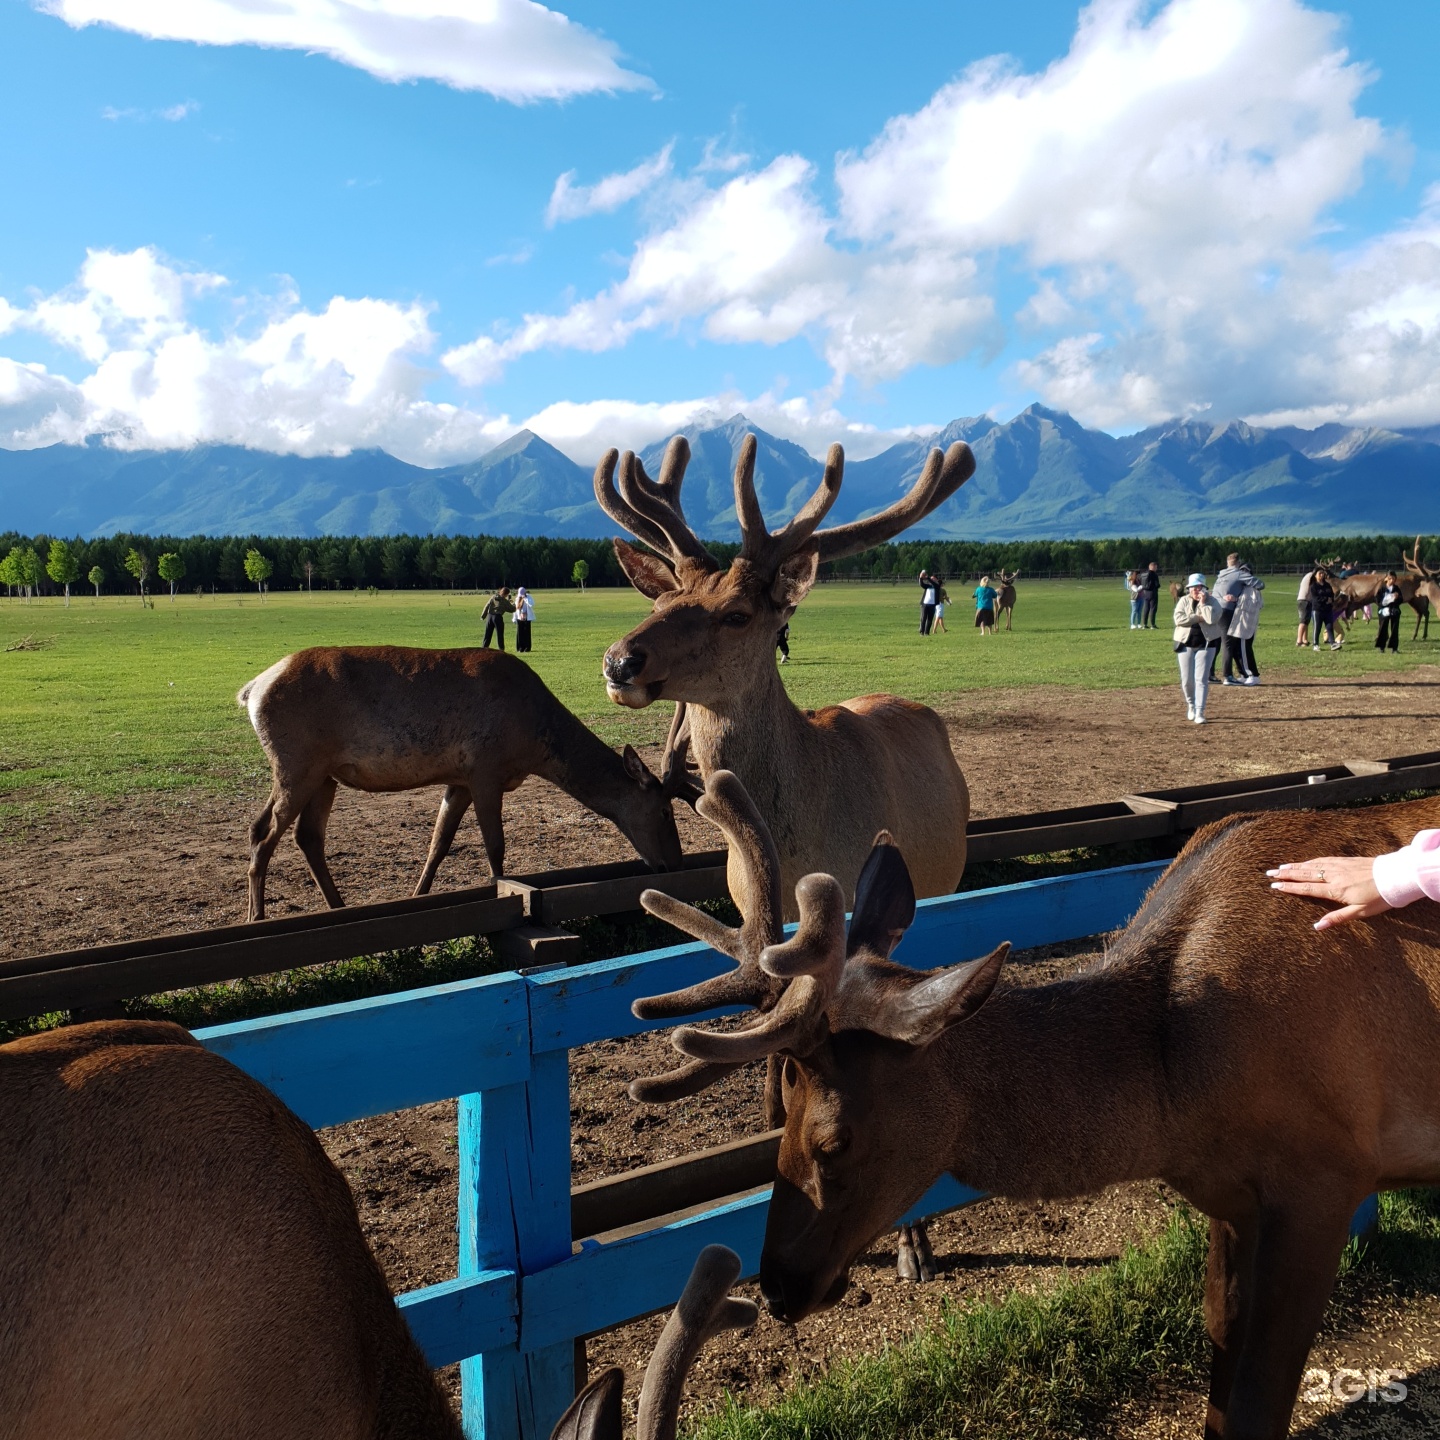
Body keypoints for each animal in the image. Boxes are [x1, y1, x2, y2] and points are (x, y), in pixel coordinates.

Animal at [239, 645, 688, 915]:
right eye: (665, 811)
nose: (673, 864)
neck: (536, 743)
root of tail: (252, 689)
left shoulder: (459, 780)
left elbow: (438, 844)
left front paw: (416, 896)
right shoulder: (485, 770)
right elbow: (495, 846)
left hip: (322, 775)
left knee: (305, 835)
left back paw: (338, 906)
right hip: (296, 763)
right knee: (263, 832)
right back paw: (256, 917)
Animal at [636, 771, 1440, 1440]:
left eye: (835, 1140)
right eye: (779, 1113)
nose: (776, 1284)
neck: (1174, 1103)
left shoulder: (1325, 1178)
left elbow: (1256, 1402)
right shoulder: (1233, 1196)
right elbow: (1219, 1349)